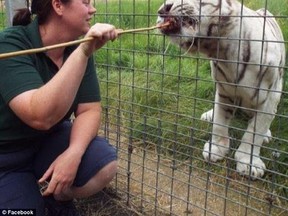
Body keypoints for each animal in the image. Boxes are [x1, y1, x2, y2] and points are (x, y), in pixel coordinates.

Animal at [156, 0, 284, 179]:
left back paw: (266, 135)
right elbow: (220, 120)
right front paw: (216, 149)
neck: (223, 50)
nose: (162, 10)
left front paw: (248, 163)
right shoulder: (224, 89)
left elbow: (256, 129)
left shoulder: (272, 94)